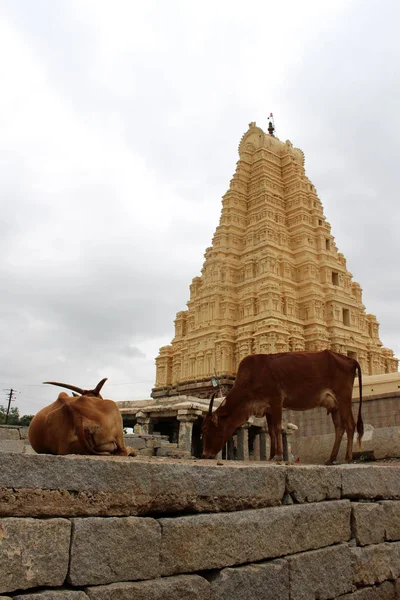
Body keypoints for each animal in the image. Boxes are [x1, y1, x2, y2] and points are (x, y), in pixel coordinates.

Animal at [202, 352, 364, 464]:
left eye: (206, 429)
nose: (204, 455)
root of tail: (349, 359)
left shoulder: (276, 401)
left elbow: (278, 428)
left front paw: (278, 456)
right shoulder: (267, 409)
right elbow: (271, 431)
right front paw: (271, 456)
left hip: (343, 399)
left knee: (350, 424)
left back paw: (348, 458)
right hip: (335, 405)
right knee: (339, 428)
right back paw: (331, 458)